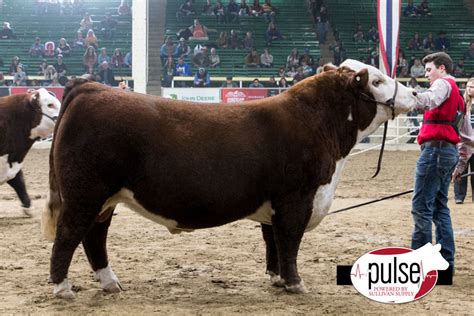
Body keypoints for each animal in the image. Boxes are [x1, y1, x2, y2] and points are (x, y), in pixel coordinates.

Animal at [42, 59, 416, 298]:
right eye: (377, 80)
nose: (413, 94)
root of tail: (89, 87)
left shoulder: (275, 204)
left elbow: (273, 241)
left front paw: (277, 280)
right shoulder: (296, 198)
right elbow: (290, 241)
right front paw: (296, 284)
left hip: (105, 198)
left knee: (94, 237)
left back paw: (110, 283)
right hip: (84, 193)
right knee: (70, 234)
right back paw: (62, 288)